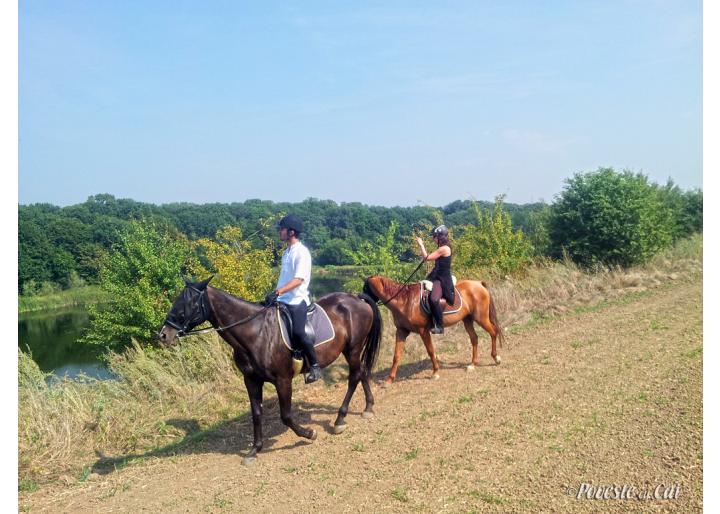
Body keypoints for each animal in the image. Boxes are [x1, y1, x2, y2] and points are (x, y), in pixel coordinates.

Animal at [158, 278, 382, 462]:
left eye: (190, 303)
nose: (164, 335)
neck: (256, 333)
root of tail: (355, 298)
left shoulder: (283, 380)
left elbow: (286, 416)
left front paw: (309, 434)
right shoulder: (251, 380)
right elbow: (256, 414)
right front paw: (254, 450)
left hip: (353, 348)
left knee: (354, 377)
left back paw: (339, 420)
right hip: (352, 350)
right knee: (362, 372)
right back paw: (368, 407)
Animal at [362, 274, 504, 382]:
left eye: (365, 288)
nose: (362, 301)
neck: (405, 301)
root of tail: (478, 284)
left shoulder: (423, 331)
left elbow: (430, 351)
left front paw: (435, 372)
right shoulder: (401, 331)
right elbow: (396, 355)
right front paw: (389, 380)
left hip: (481, 318)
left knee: (493, 332)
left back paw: (496, 358)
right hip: (467, 319)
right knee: (474, 338)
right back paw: (472, 365)